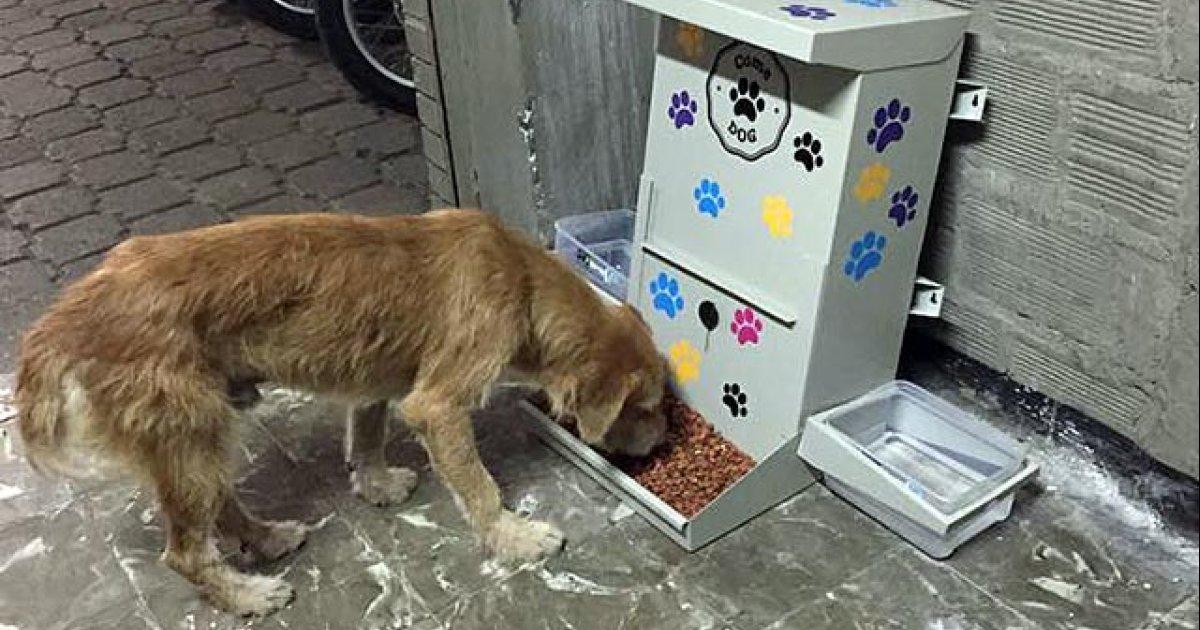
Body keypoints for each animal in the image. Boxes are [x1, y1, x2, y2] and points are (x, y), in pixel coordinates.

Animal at [16, 210, 667, 614]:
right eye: (648, 407)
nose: (662, 445)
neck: (523, 280)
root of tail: (68, 315)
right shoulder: (438, 404)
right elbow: (479, 486)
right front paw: (514, 536)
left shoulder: (378, 376)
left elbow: (368, 431)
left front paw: (374, 483)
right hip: (188, 434)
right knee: (185, 552)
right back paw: (247, 596)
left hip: (199, 436)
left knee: (218, 508)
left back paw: (267, 538)